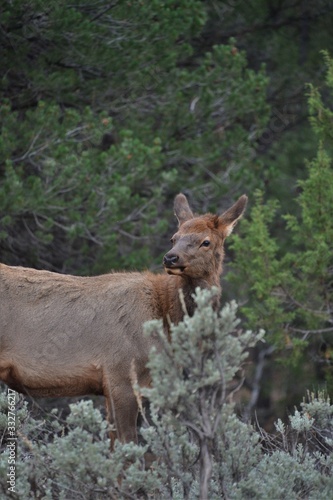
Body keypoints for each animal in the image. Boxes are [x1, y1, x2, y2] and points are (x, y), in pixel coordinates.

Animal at [0, 193, 246, 448]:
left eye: (206, 242)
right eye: (174, 237)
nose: (170, 257)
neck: (166, 321)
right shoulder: (121, 374)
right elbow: (128, 446)